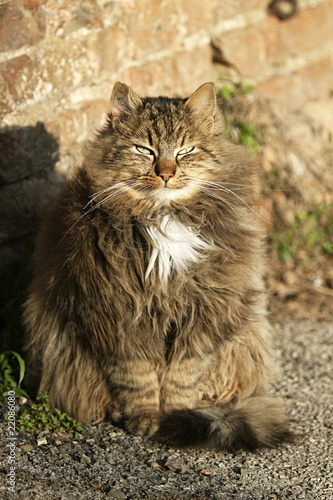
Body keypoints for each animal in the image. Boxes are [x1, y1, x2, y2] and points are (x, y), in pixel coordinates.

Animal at [22, 81, 288, 450]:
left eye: (185, 150)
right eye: (144, 150)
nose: (165, 173)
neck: (163, 218)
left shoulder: (202, 314)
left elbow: (182, 375)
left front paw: (176, 415)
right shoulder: (117, 316)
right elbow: (137, 379)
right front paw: (145, 419)